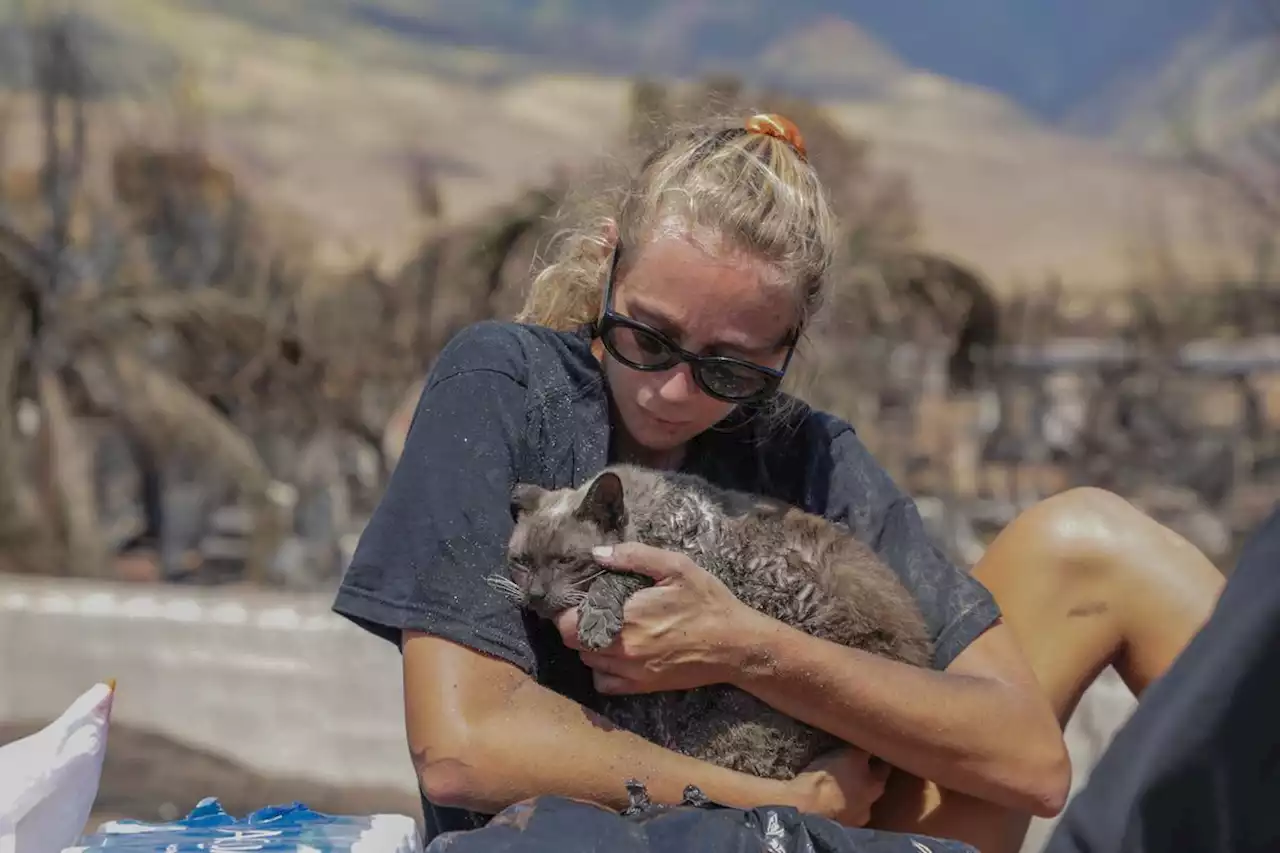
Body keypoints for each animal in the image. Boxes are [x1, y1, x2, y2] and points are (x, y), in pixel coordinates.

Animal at [486, 466, 931, 778]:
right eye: (521, 562)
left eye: (567, 561)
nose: (536, 596)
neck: (651, 513)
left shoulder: (686, 562)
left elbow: (617, 575)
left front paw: (596, 619)